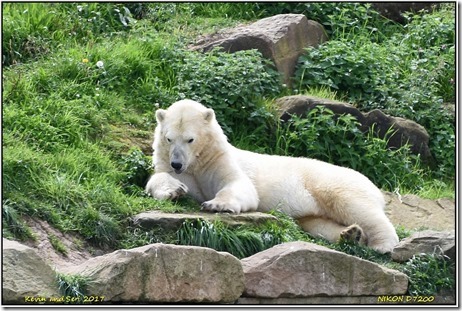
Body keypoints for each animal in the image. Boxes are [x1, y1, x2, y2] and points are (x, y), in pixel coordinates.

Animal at [146, 100, 398, 254]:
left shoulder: (218, 159)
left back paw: (382, 244)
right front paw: (174, 190)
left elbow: (239, 185)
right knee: (319, 223)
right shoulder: (177, 166)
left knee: (352, 203)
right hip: (311, 212)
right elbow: (158, 178)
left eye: (190, 139)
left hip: (331, 181)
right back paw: (350, 234)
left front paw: (216, 204)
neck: (197, 162)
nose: (177, 163)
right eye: (169, 138)